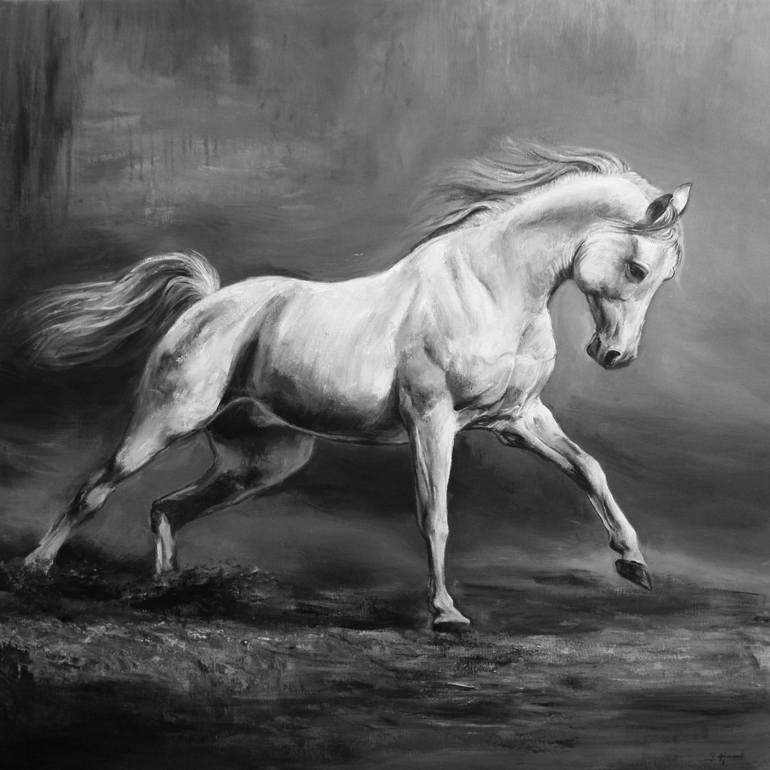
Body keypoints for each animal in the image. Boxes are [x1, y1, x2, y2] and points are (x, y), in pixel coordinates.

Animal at [20, 141, 691, 629]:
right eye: (637, 269)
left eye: (664, 277)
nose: (614, 356)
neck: (492, 289)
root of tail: (209, 302)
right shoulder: (432, 422)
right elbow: (435, 515)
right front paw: (445, 613)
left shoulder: (518, 419)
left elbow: (589, 470)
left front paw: (634, 564)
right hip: (168, 420)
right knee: (96, 490)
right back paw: (35, 567)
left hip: (262, 460)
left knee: (166, 507)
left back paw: (166, 588)